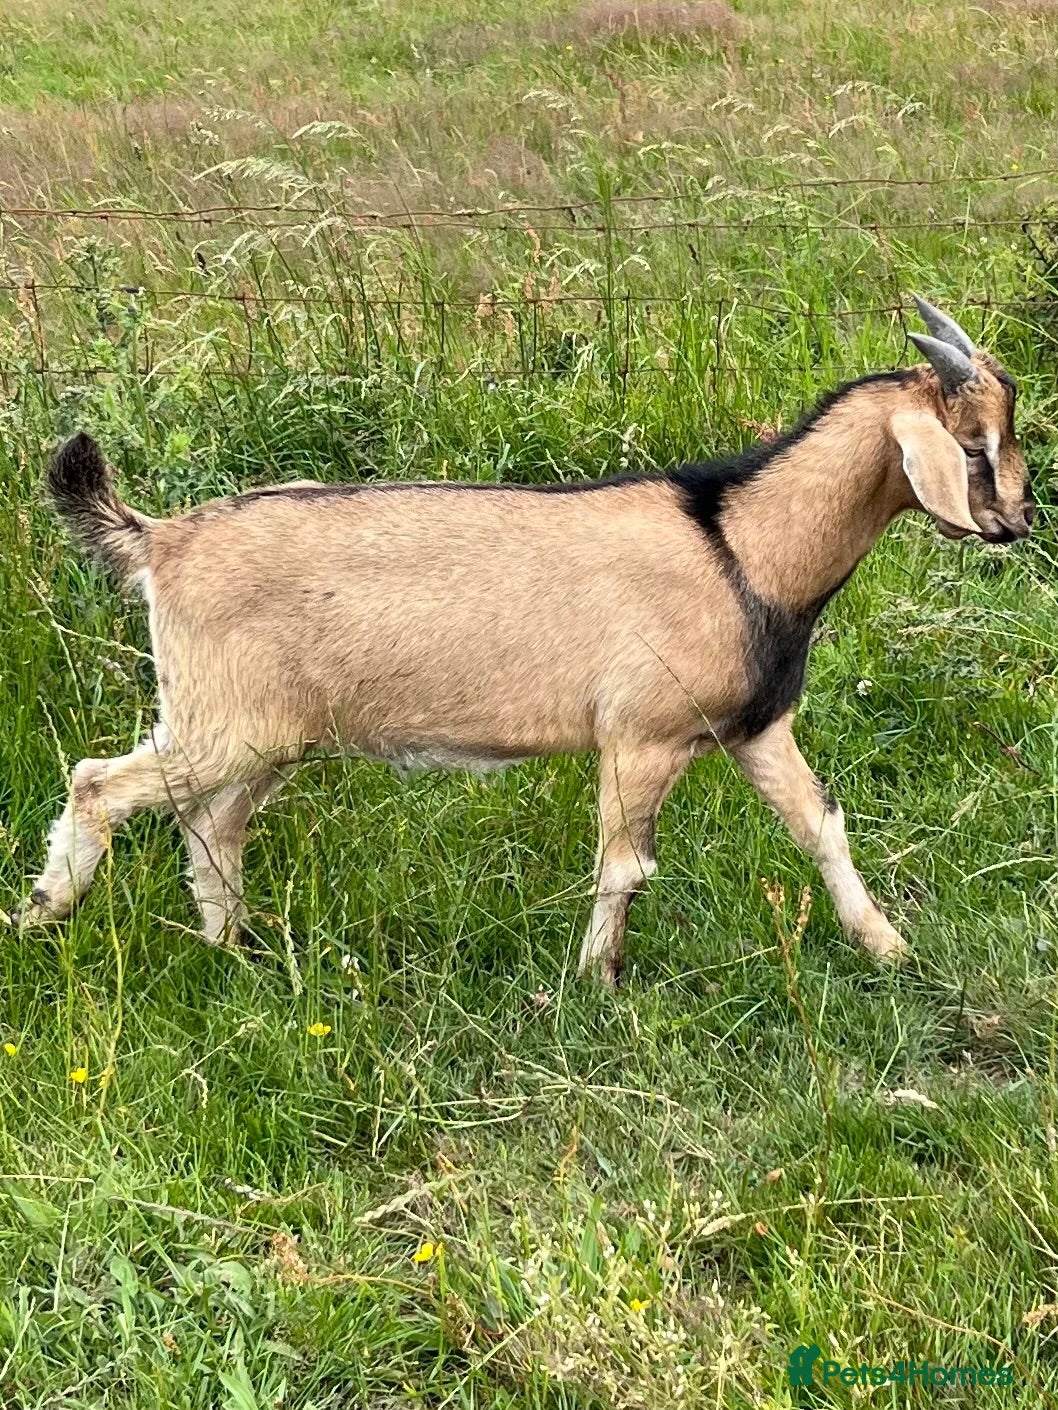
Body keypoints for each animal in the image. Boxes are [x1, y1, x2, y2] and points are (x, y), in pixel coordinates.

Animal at [15, 298, 1033, 983]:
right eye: (976, 443)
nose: (1020, 521)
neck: (743, 544)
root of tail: (163, 540)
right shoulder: (641, 735)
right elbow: (624, 864)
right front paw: (594, 983)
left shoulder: (755, 727)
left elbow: (820, 824)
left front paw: (889, 946)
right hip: (224, 720)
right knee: (99, 783)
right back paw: (43, 914)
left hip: (266, 731)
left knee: (213, 822)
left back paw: (233, 947)